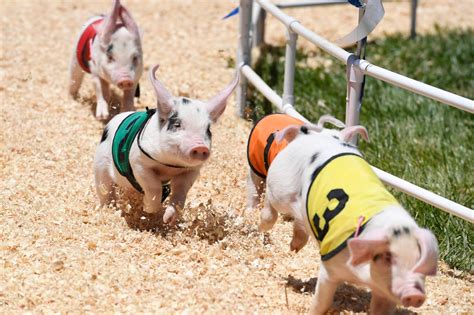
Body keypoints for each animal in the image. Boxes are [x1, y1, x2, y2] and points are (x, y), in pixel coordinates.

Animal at [94, 65, 239, 226]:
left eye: (208, 129)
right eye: (177, 124)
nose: (200, 147)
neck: (170, 165)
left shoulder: (191, 170)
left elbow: (180, 191)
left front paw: (168, 220)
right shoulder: (139, 162)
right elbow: (153, 186)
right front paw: (148, 209)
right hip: (100, 167)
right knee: (105, 189)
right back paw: (110, 208)